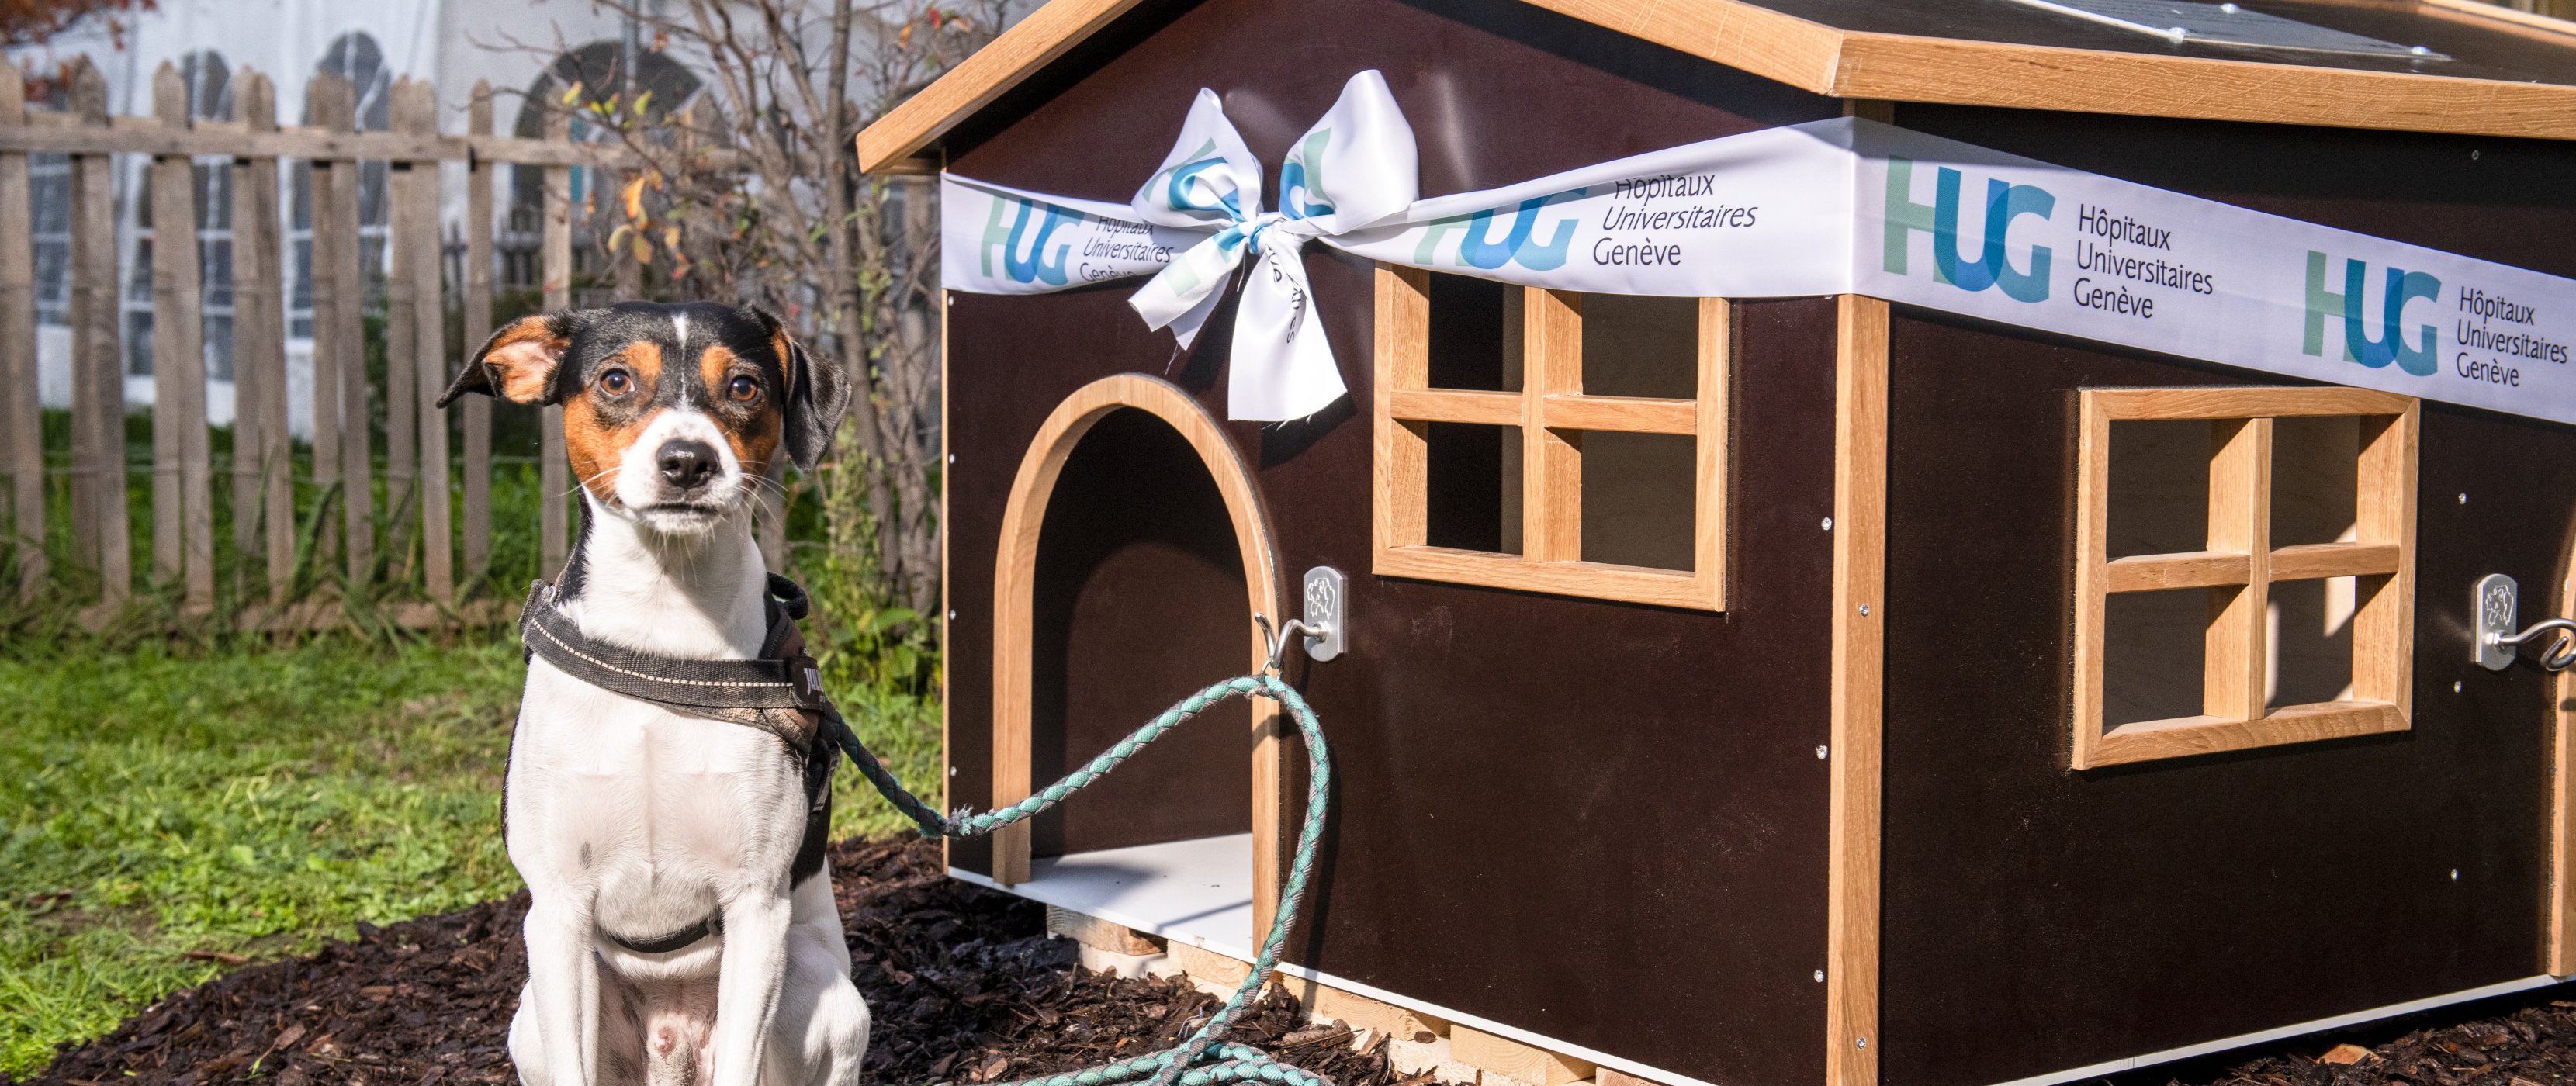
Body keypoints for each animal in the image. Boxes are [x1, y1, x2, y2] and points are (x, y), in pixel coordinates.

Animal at [443, 298, 875, 1086]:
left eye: (744, 386)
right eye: (616, 380)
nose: (687, 462)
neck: (664, 634)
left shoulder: (756, 907)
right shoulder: (557, 911)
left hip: (819, 994)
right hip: (531, 1020)